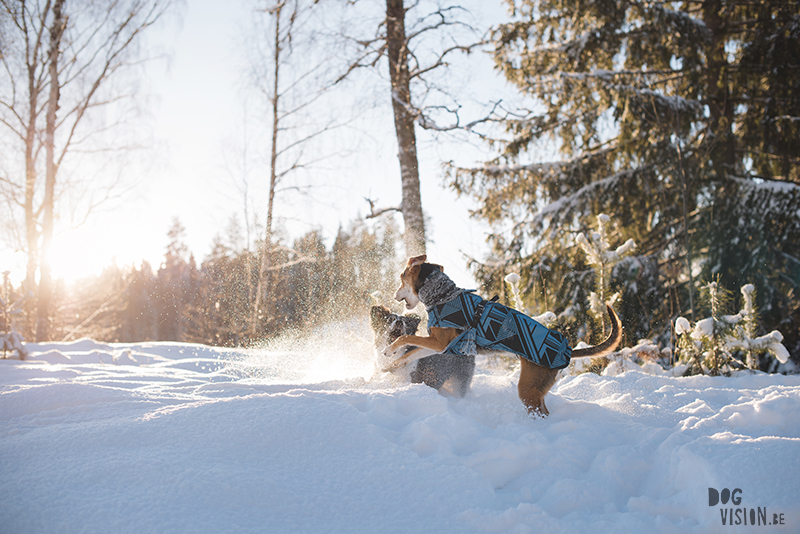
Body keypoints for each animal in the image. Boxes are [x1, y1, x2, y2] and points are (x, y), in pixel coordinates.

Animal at [384, 256, 620, 418]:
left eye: (401, 278)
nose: (394, 295)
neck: (443, 295)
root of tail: (568, 351)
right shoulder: (441, 345)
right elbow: (412, 354)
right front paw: (391, 366)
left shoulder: (439, 341)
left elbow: (405, 340)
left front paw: (389, 350)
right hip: (535, 388)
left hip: (527, 388)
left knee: (541, 413)